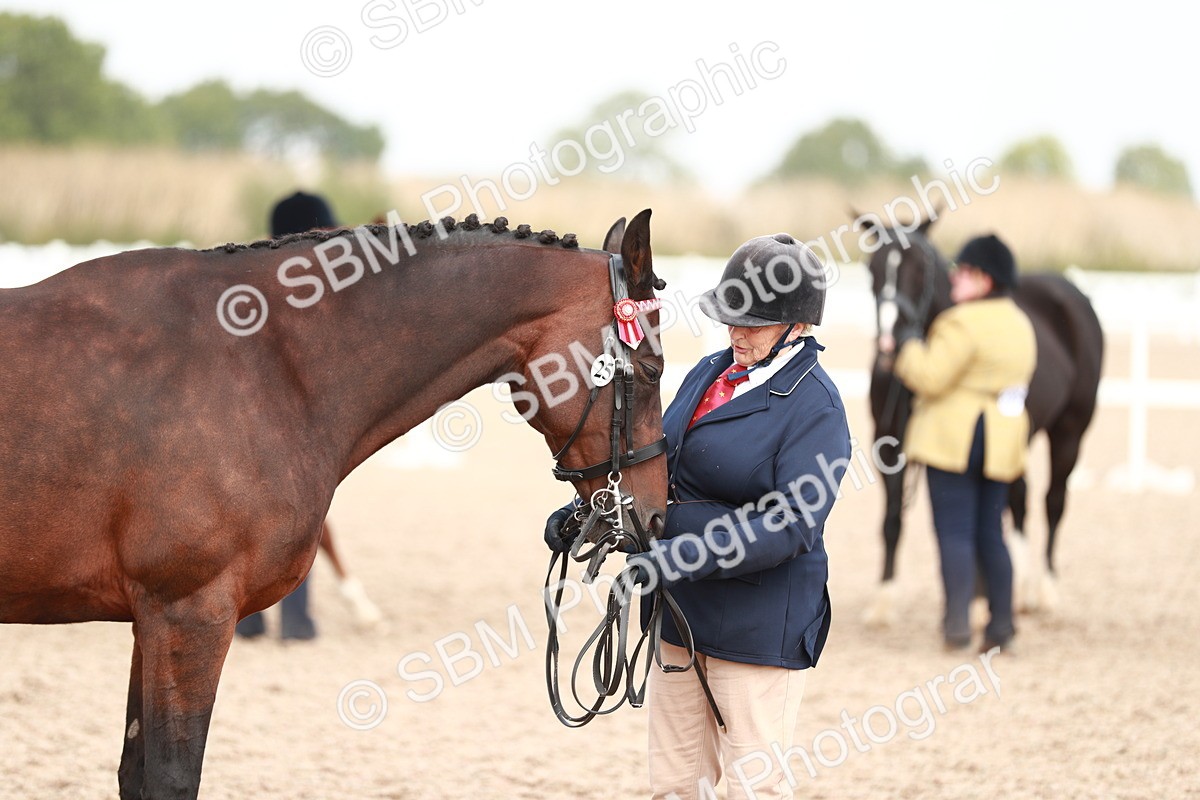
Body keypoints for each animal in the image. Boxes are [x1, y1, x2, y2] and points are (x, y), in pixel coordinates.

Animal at [0, 210, 669, 799]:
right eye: (652, 368)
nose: (657, 515)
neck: (264, 365)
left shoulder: (152, 621)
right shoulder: (187, 612)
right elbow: (170, 778)